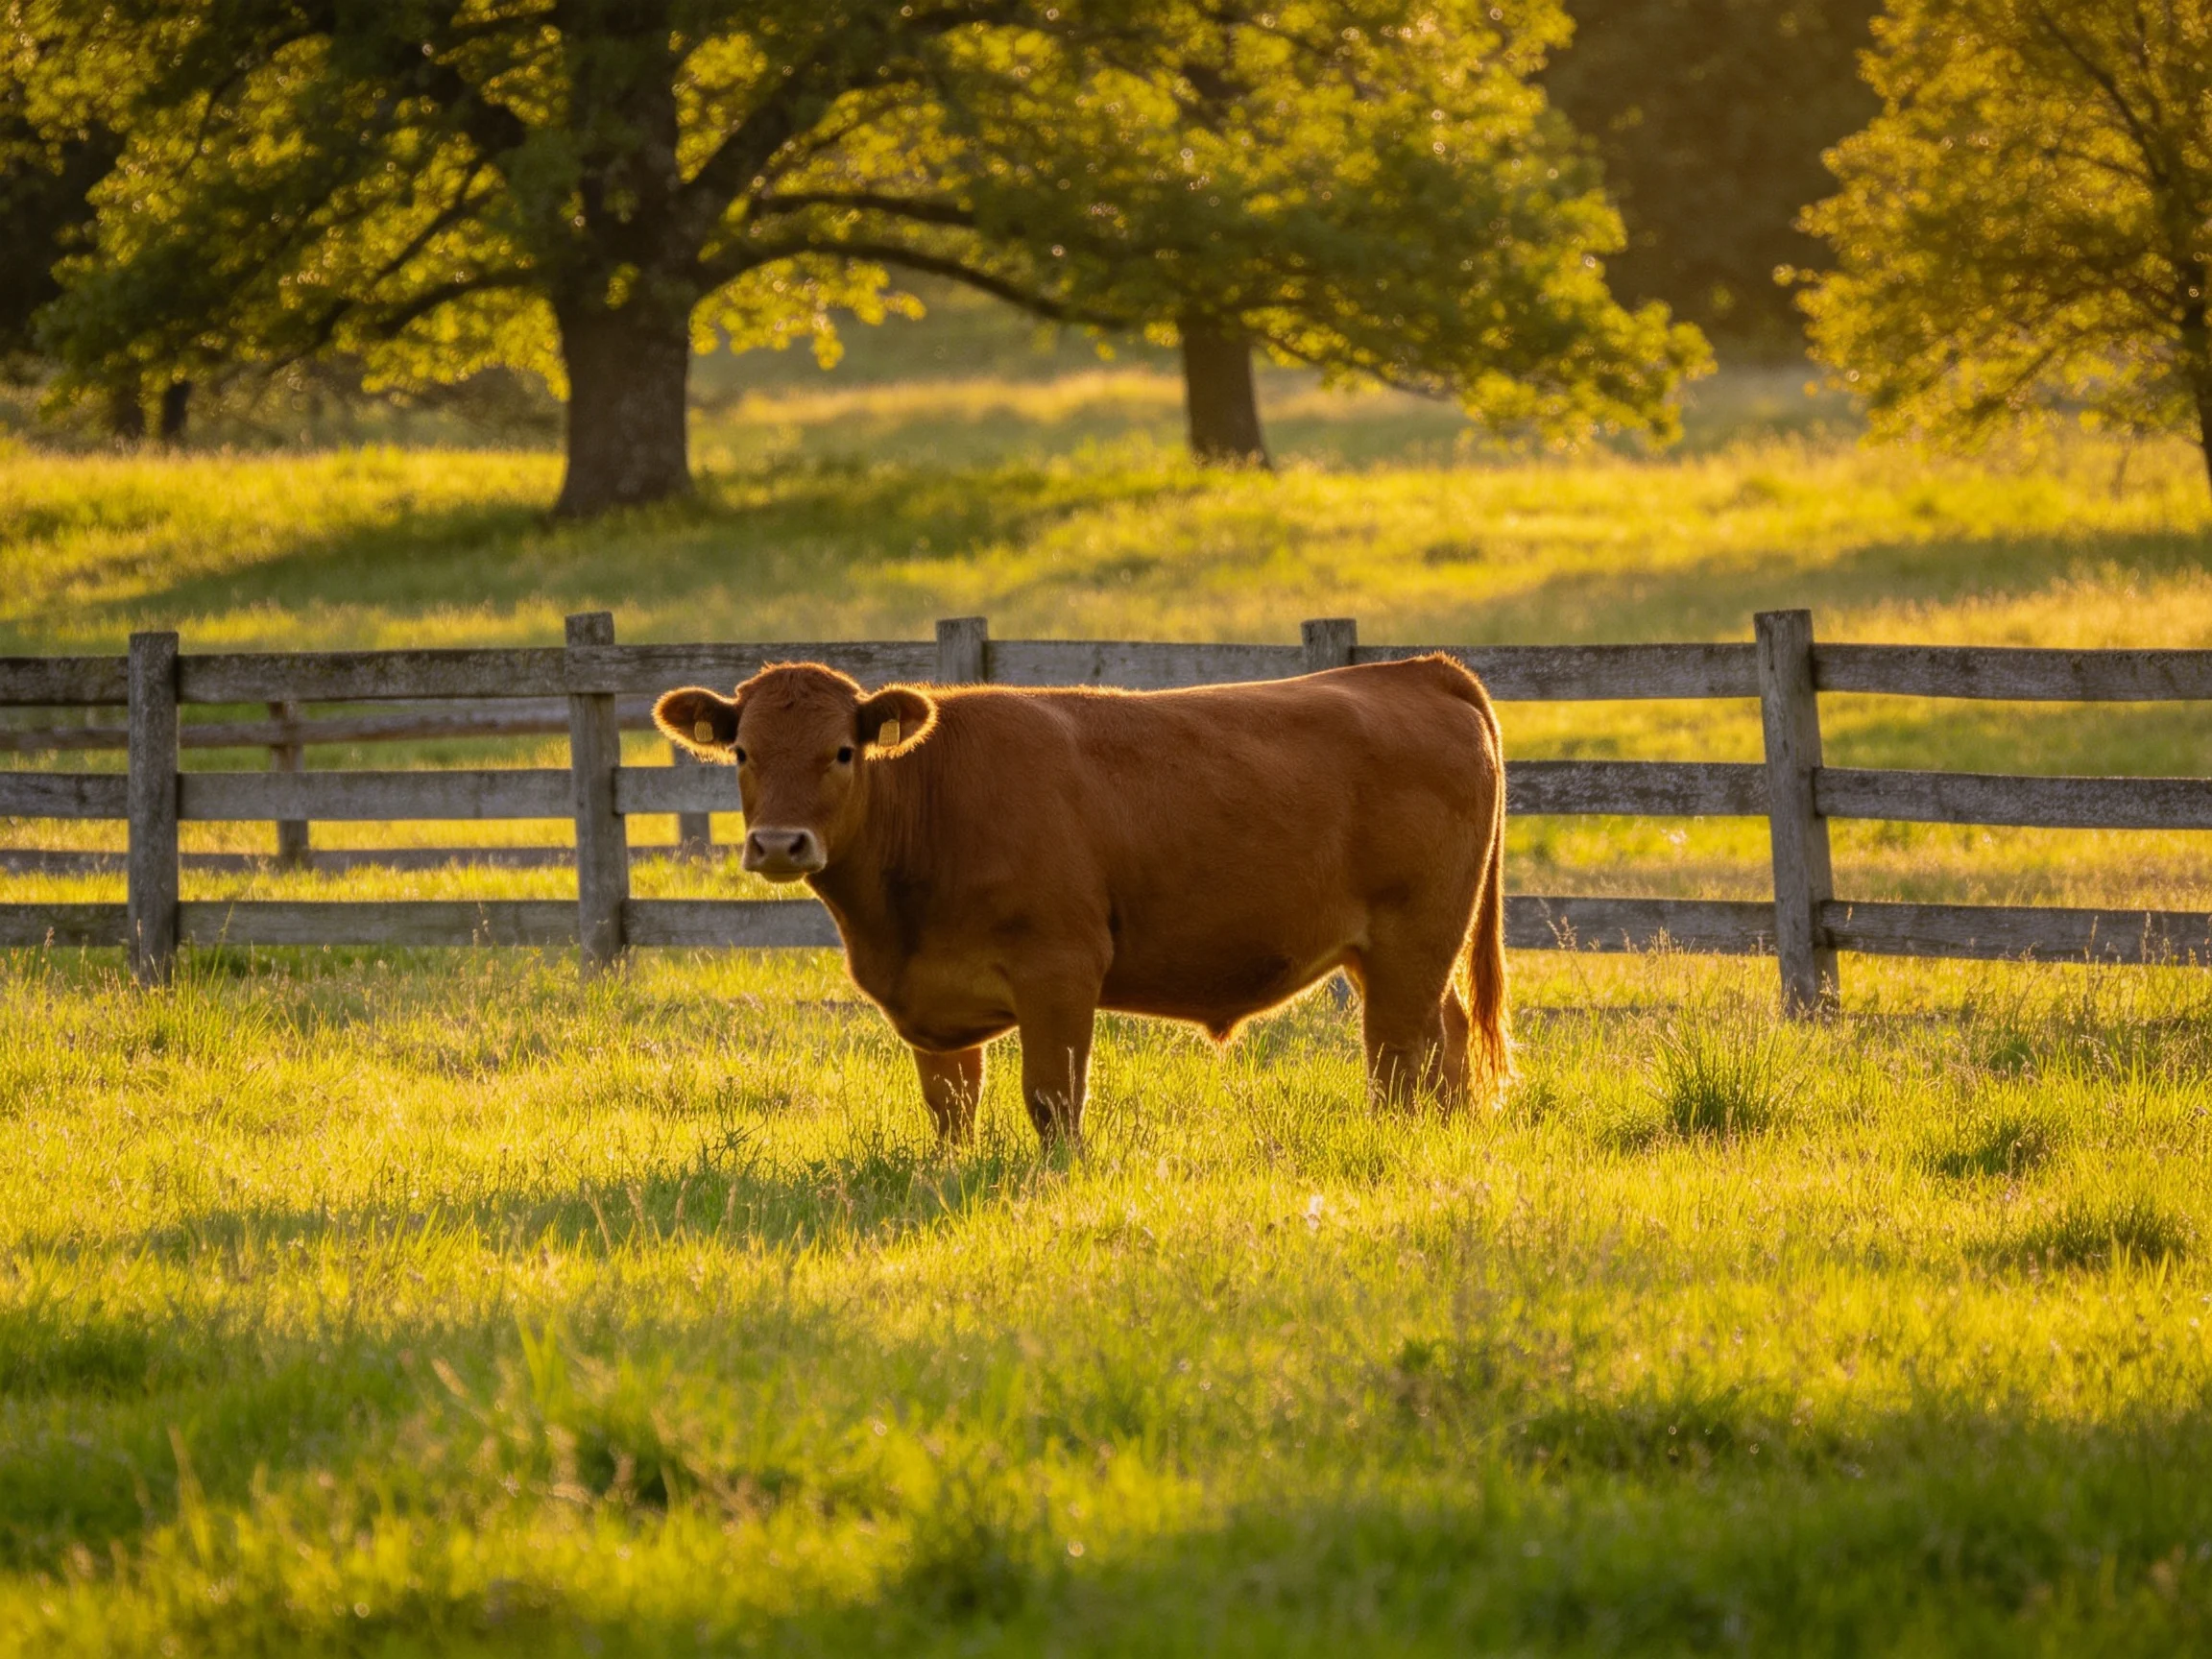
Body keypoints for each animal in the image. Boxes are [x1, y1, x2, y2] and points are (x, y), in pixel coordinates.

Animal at [653, 656, 1508, 1146]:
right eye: (742, 752)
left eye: (841, 752)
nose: (779, 845)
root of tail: (1415, 669)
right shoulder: (935, 997)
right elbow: (950, 1106)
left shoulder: (1060, 969)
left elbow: (1053, 1099)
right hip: (1386, 952)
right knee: (1449, 1041)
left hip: (1413, 938)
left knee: (1400, 1062)